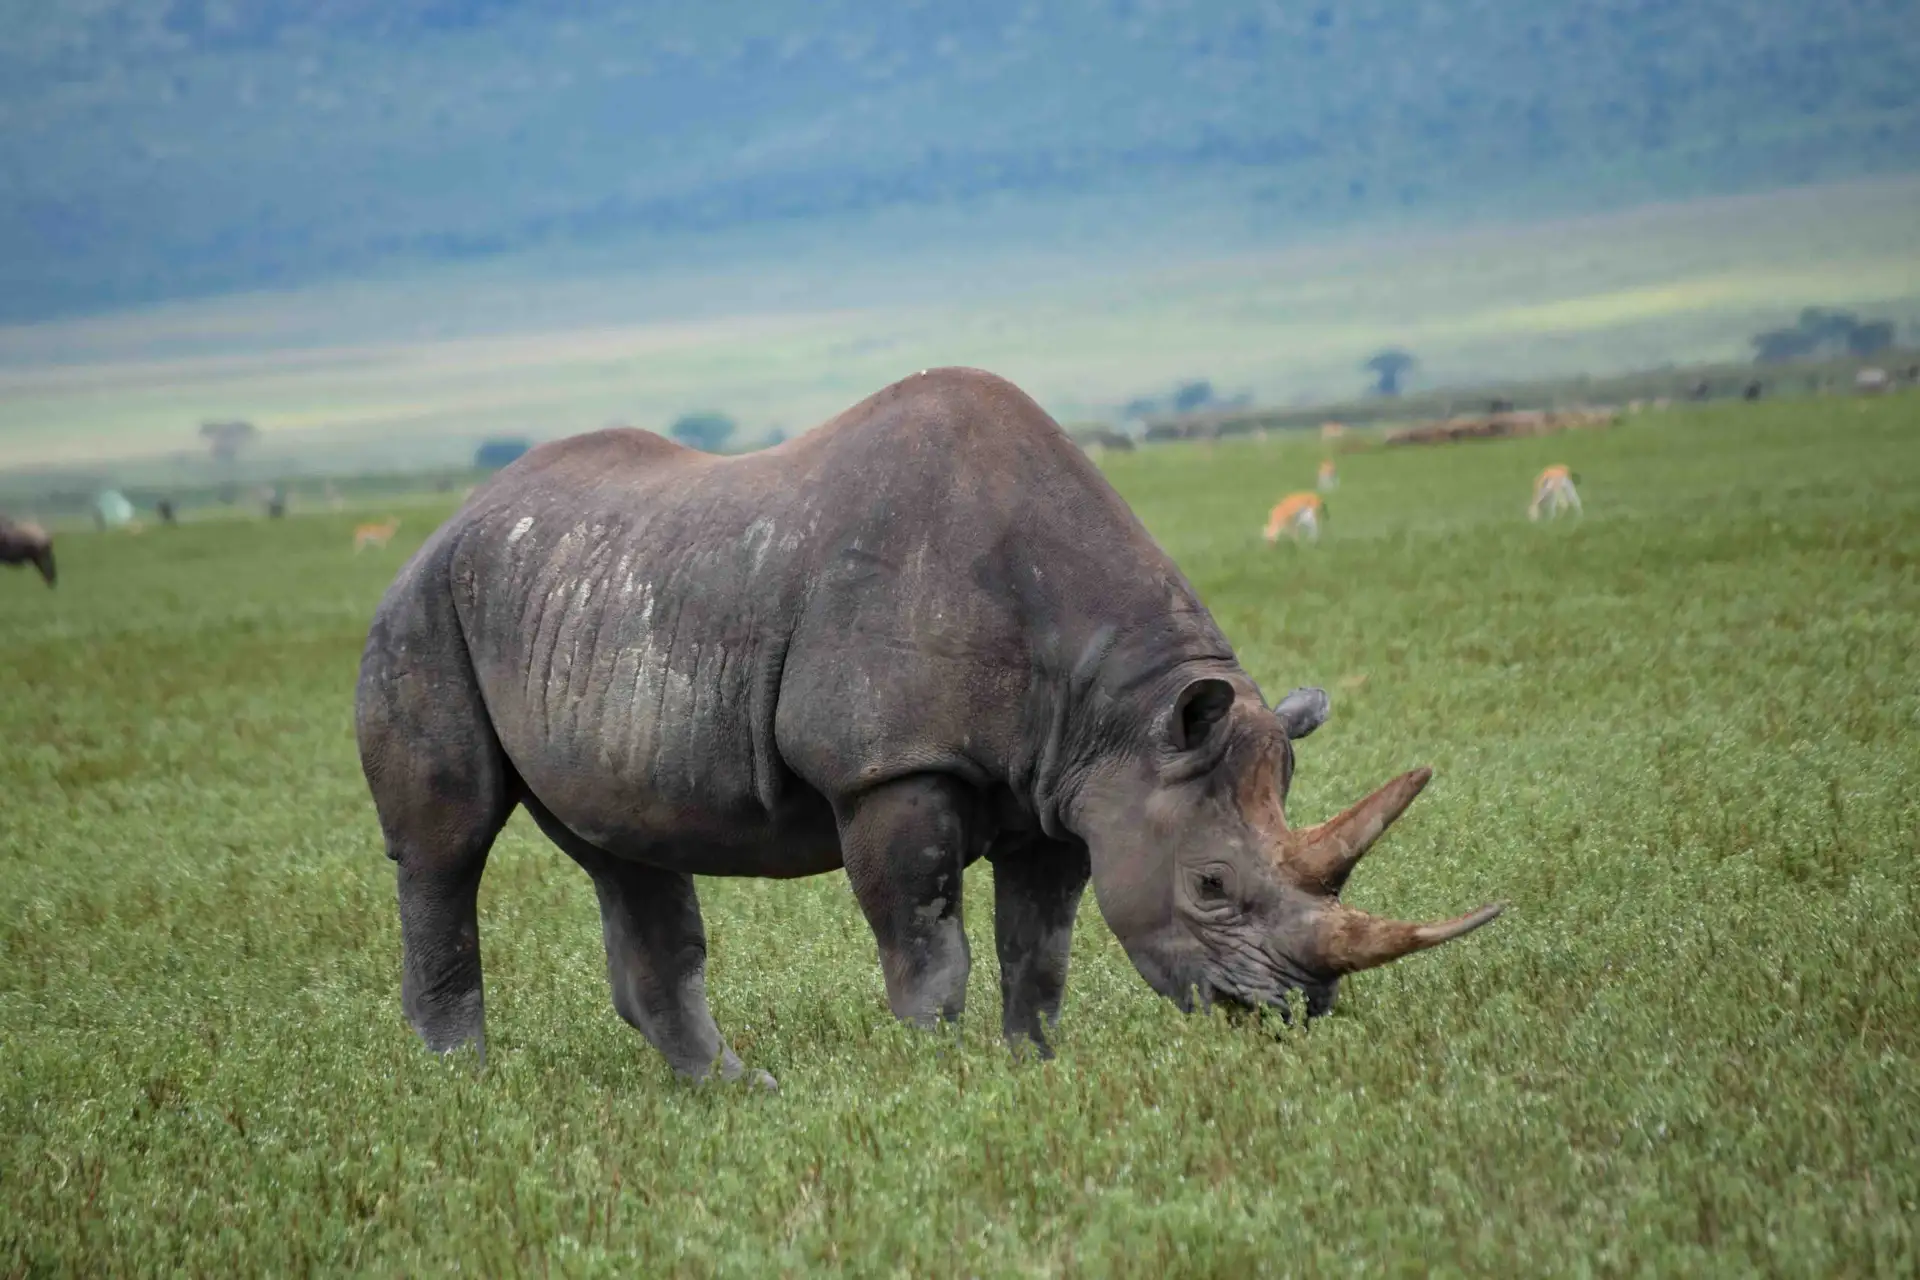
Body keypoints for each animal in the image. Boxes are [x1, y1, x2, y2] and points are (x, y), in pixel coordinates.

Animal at [355, 367, 1501, 1087]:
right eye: (1213, 885)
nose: (1292, 1013)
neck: (1126, 710)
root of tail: (449, 519)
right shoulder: (890, 767)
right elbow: (926, 941)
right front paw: (931, 1080)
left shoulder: (1068, 784)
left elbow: (1039, 952)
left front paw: (1031, 1071)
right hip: (423, 608)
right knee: (447, 848)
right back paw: (466, 1088)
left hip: (582, 594)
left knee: (627, 851)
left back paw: (735, 1092)